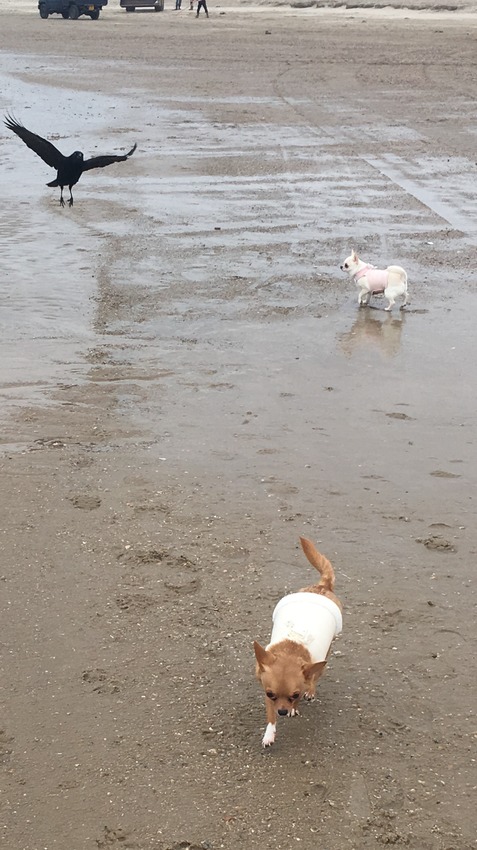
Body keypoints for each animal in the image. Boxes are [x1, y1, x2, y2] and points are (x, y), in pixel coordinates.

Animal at [254, 537, 343, 747]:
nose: (282, 711)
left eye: (295, 695)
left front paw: (296, 705)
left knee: (316, 675)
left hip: (326, 654)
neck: (292, 647)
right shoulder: (266, 692)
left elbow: (306, 686)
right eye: (270, 694)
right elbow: (270, 716)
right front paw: (269, 734)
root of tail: (321, 587)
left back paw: (311, 690)